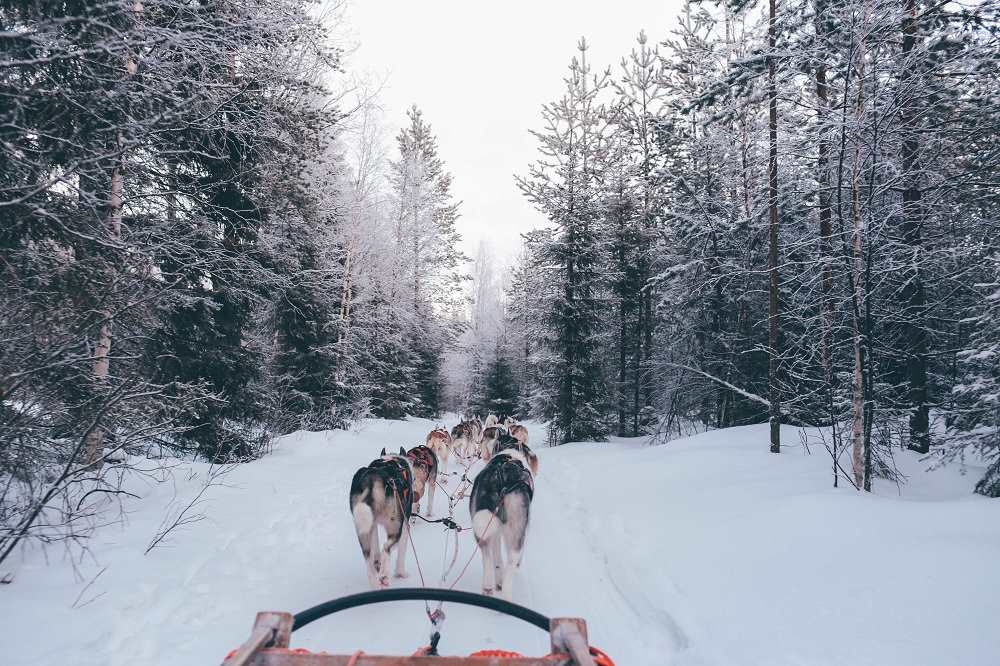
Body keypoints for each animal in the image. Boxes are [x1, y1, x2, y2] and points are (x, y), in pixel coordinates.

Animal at [352, 446, 414, 588]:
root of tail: (372, 478)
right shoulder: (405, 525)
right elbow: (401, 550)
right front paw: (401, 573)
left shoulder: (373, 524)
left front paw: (377, 562)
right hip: (395, 526)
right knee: (386, 548)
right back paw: (384, 575)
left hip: (363, 531)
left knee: (368, 557)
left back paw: (375, 581)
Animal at [470, 438, 536, 600]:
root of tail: (498, 480)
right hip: (516, 534)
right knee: (510, 568)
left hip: (484, 531)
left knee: (490, 561)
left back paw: (489, 587)